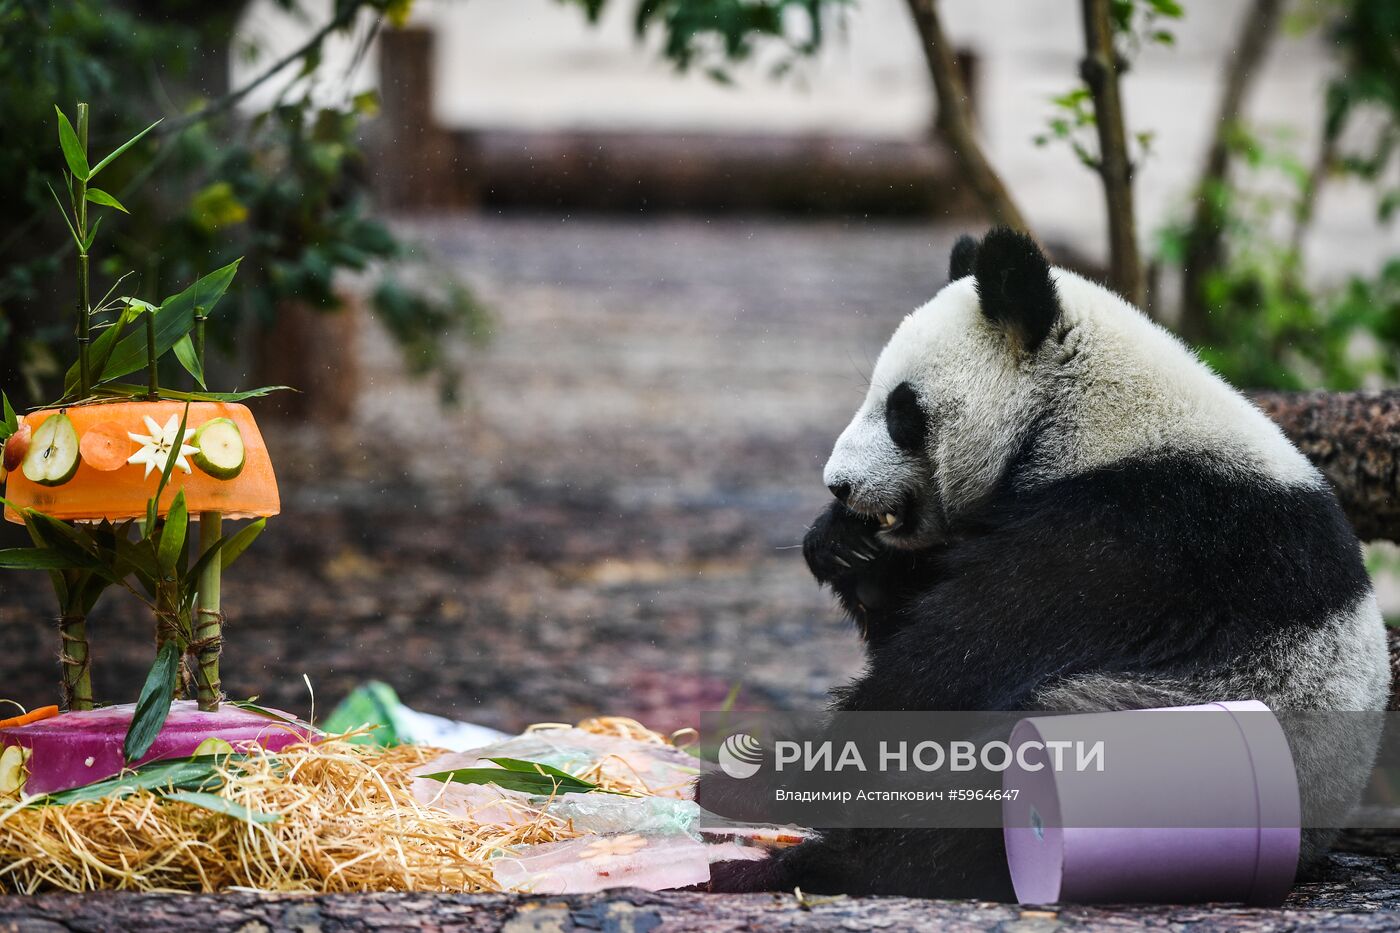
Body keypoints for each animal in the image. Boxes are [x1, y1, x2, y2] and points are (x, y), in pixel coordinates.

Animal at [711, 226, 1388, 902]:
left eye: (903, 412)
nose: (840, 485)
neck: (1086, 418)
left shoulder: (1139, 533)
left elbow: (957, 661)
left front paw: (757, 776)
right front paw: (845, 545)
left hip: (1134, 716)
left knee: (970, 805)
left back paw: (789, 865)